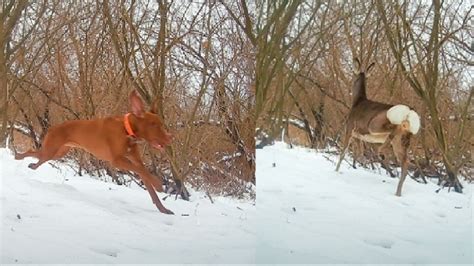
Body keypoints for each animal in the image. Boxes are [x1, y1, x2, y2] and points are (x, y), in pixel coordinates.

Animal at [14, 90, 175, 215]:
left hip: (58, 152)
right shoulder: (117, 160)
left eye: (161, 124)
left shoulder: (135, 160)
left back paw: (31, 164)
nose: (170, 137)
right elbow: (143, 171)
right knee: (34, 153)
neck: (127, 131)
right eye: (154, 125)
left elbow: (146, 179)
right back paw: (19, 157)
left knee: (39, 156)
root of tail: (53, 127)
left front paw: (163, 209)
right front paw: (159, 185)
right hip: (51, 150)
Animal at [336, 58, 420, 196]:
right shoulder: (358, 136)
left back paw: (381, 151)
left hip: (376, 123)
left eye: (354, 76)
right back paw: (398, 193)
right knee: (405, 163)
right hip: (402, 140)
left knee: (392, 130)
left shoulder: (350, 128)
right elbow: (359, 152)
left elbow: (343, 152)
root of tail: (408, 113)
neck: (356, 102)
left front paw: (336, 170)